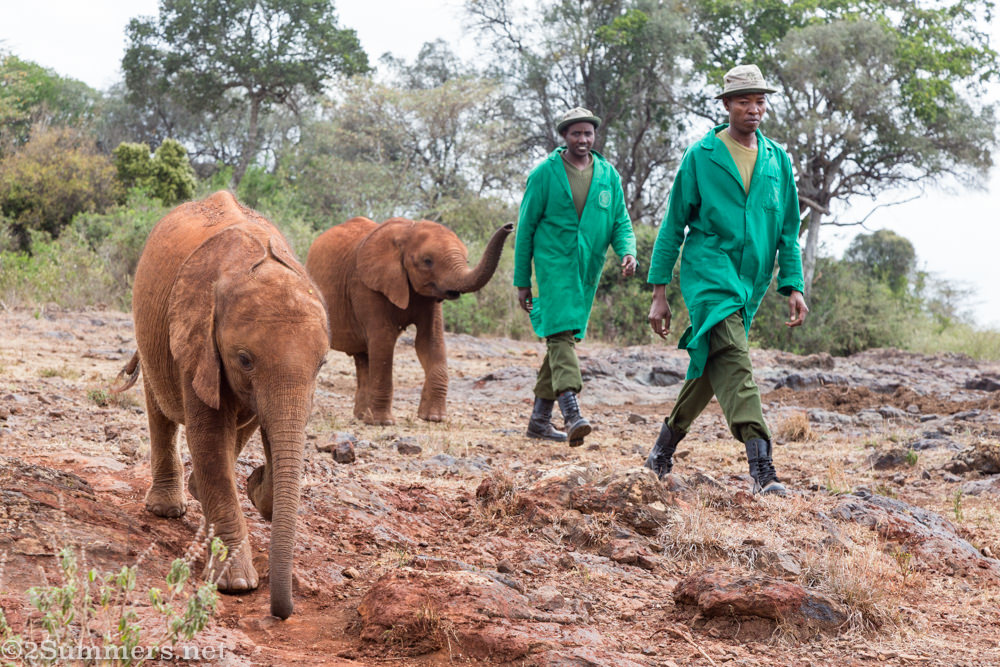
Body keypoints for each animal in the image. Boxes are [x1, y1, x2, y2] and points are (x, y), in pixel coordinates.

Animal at [115, 191, 330, 620]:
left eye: (322, 365)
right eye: (244, 359)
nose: (282, 612)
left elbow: (258, 427)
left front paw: (255, 486)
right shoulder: (195, 334)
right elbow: (210, 435)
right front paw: (237, 585)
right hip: (154, 334)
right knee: (159, 408)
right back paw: (167, 509)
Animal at [305, 217, 512, 425]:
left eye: (467, 260)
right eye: (427, 261)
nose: (510, 226)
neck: (407, 230)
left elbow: (430, 340)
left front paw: (434, 418)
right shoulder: (366, 285)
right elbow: (384, 340)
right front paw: (384, 422)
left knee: (363, 357)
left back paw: (362, 416)